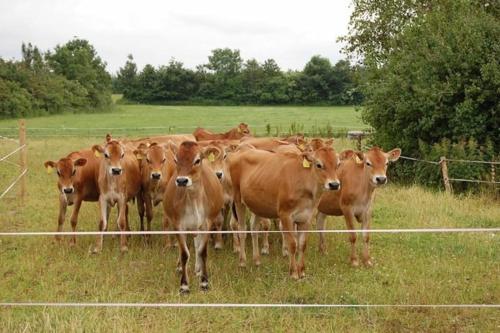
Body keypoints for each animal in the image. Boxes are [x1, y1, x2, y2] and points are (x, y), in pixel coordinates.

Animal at [163, 141, 224, 292]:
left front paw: (204, 282)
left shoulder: (207, 224)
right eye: (176, 160)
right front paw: (184, 285)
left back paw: (198, 269)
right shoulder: (178, 225)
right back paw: (181, 267)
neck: (193, 199)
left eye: (197, 160)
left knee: (197, 246)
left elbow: (202, 252)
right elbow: (184, 253)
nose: (182, 181)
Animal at [229, 141, 342, 278]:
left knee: (254, 229)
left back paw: (256, 260)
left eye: (338, 164)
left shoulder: (307, 217)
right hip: (238, 200)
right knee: (242, 230)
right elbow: (292, 244)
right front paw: (293, 272)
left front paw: (302, 271)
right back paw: (242, 262)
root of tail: (241, 150)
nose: (334, 184)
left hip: (257, 204)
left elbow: (302, 244)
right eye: (319, 164)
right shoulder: (285, 215)